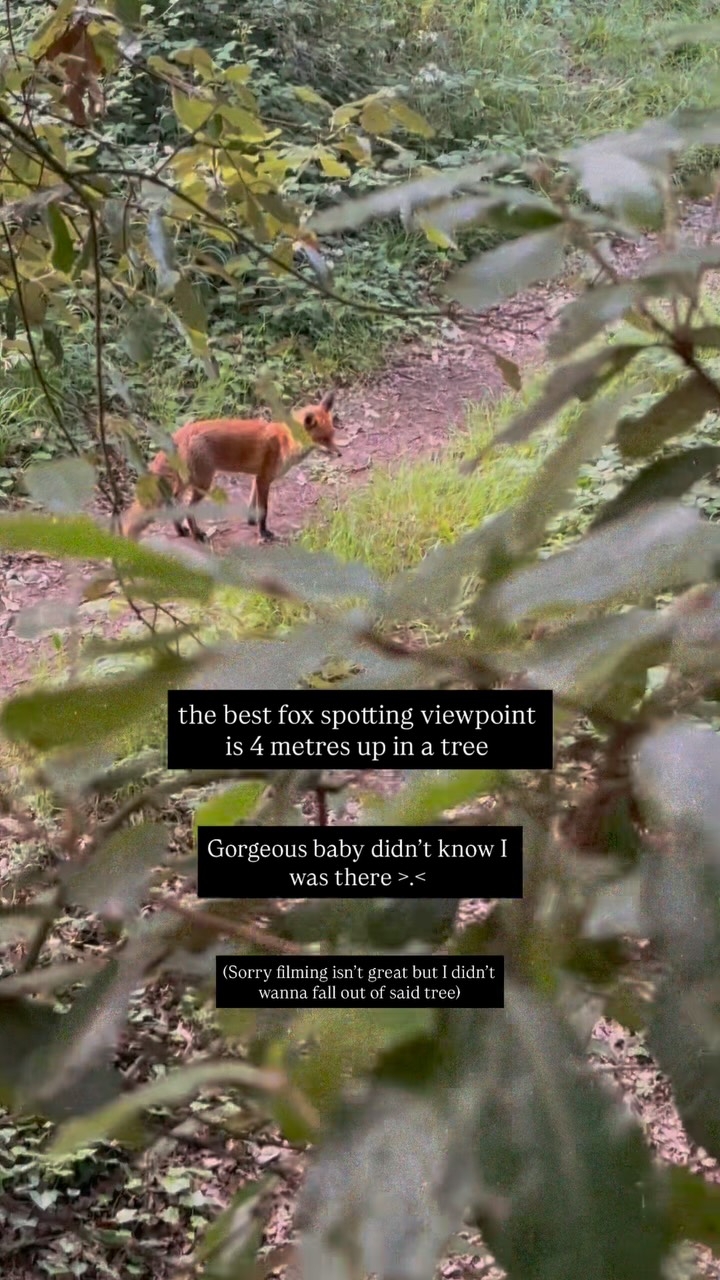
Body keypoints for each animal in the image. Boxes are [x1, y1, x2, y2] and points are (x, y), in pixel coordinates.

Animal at [121, 390, 340, 543]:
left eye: (333, 435)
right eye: (323, 439)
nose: (339, 454)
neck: (285, 441)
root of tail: (182, 433)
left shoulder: (257, 478)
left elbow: (253, 505)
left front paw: (251, 523)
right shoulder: (264, 478)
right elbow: (264, 510)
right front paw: (263, 533)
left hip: (186, 481)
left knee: (172, 502)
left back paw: (181, 531)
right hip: (203, 483)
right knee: (186, 508)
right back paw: (196, 535)